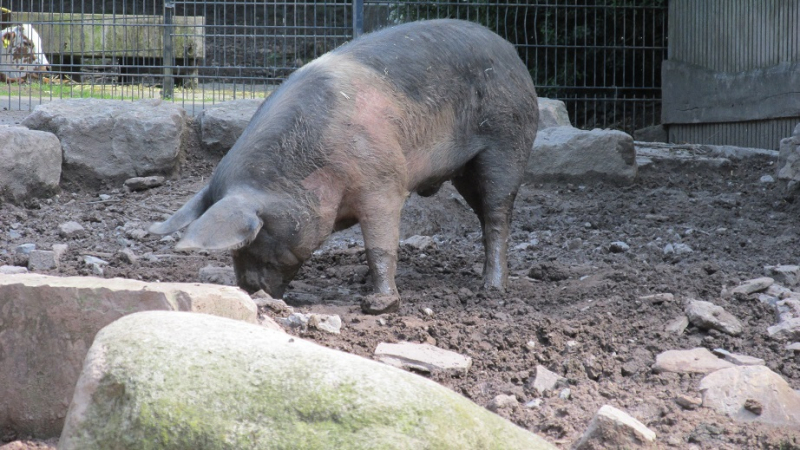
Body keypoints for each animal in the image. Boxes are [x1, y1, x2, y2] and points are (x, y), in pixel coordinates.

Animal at [150, 19, 536, 314]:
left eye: (254, 237)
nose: (248, 290)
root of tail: (513, 52)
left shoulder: (383, 181)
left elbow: (380, 244)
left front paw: (379, 304)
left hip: (507, 140)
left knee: (498, 215)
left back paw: (491, 289)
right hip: (465, 170)